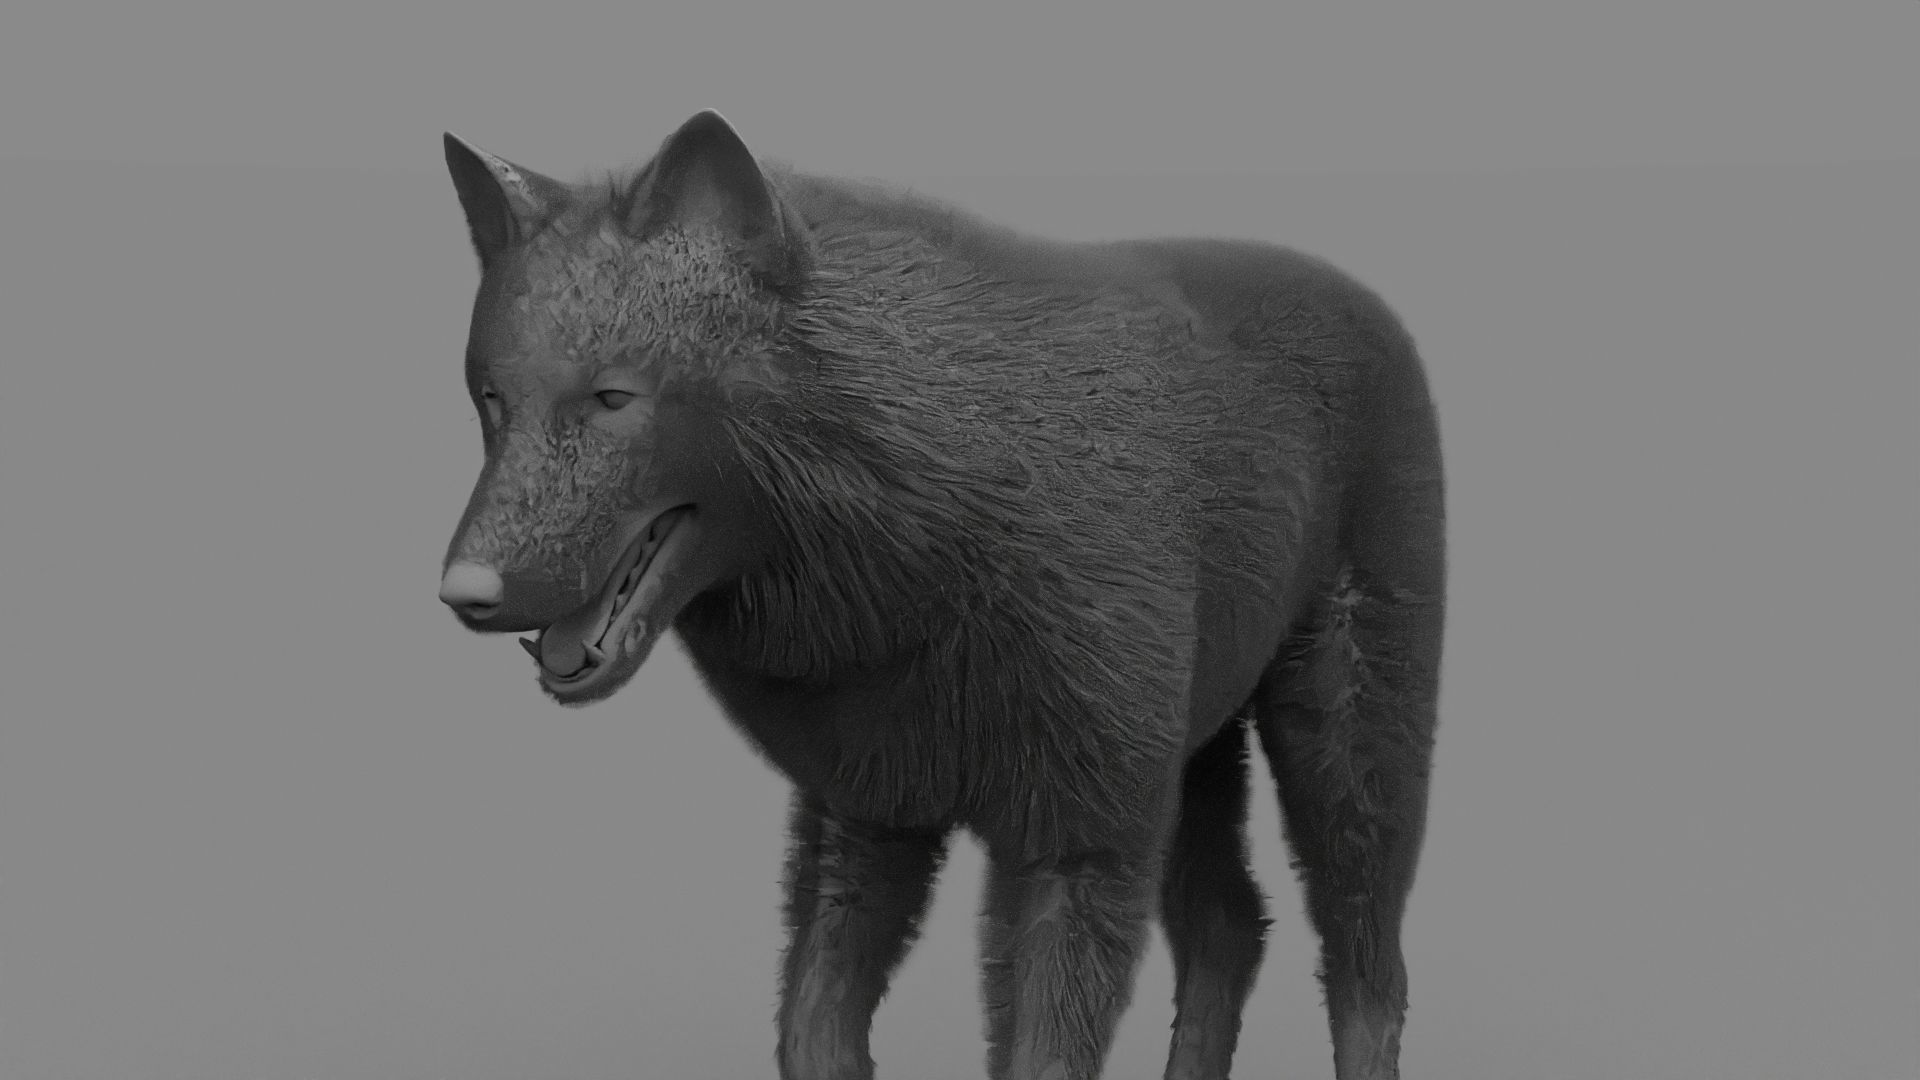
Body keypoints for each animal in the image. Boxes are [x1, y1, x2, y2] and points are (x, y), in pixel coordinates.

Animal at [436, 110, 1444, 1080]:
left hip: (1344, 752)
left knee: (1369, 966)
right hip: (1198, 755)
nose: (462, 592)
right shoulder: (869, 815)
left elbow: (1041, 1054)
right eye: (490, 401)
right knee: (1230, 928)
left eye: (611, 397)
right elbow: (812, 1032)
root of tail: (1367, 300)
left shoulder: (1074, 840)